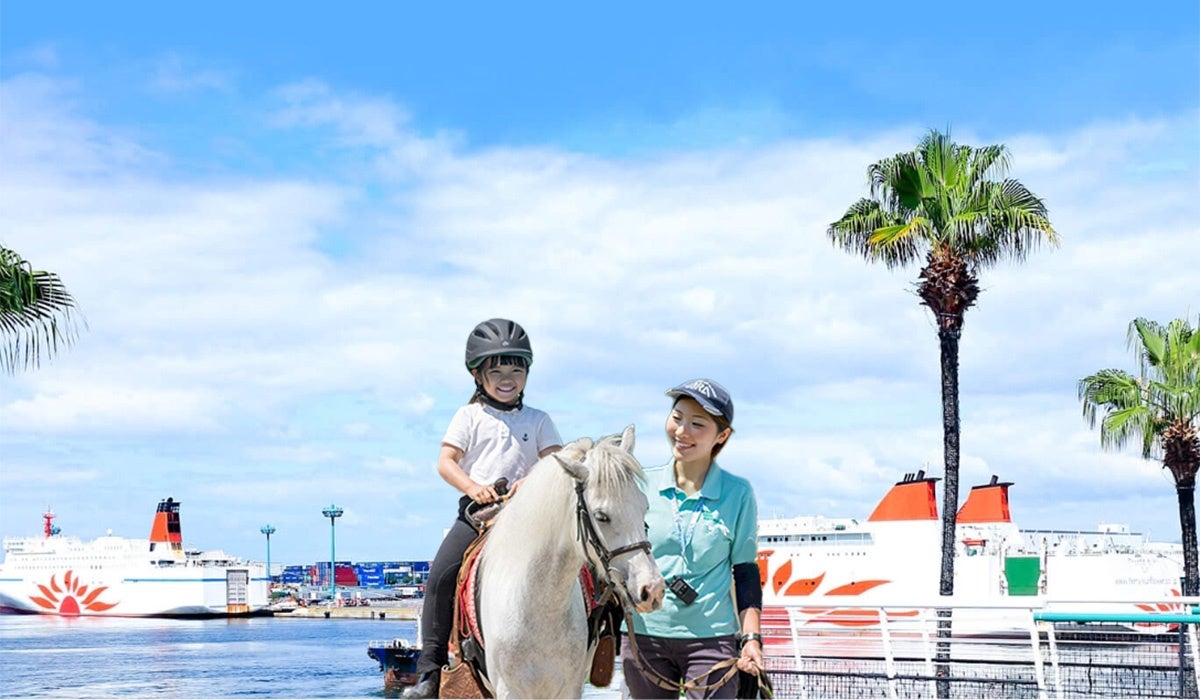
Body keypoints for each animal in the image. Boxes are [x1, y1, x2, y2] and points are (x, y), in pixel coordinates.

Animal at [475, 425, 667, 696]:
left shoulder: (570, 688)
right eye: (601, 516)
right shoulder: (508, 690)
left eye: (644, 507)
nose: (653, 590)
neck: (540, 607)